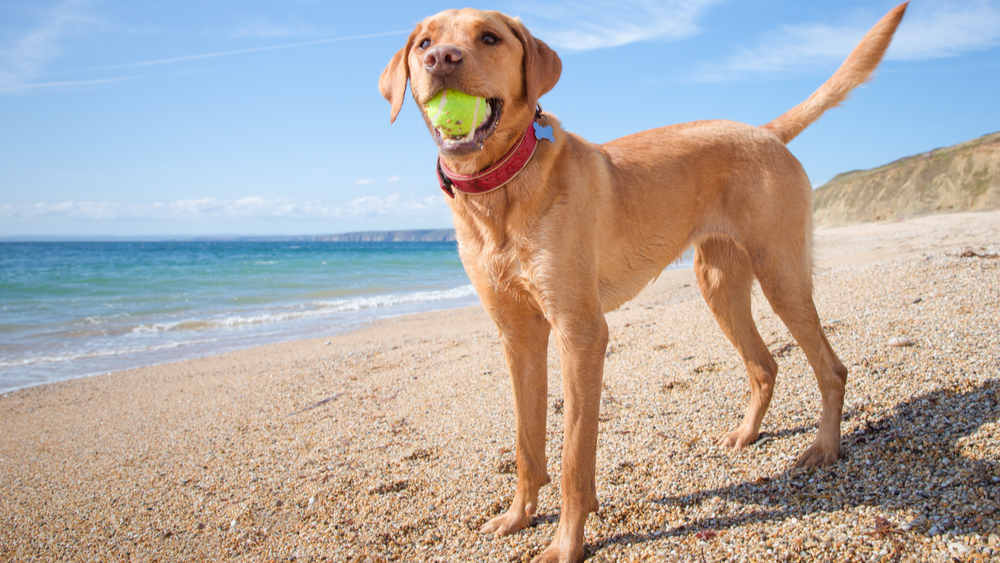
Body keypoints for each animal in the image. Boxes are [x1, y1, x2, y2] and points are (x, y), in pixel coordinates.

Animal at [380, 5, 908, 563]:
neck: (499, 190)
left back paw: (824, 448)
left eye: (488, 37)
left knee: (831, 368)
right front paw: (518, 516)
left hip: (781, 275)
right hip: (718, 284)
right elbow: (527, 446)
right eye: (424, 43)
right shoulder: (518, 337)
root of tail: (763, 131)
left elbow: (573, 459)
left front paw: (566, 543)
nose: (441, 59)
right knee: (764, 366)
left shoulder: (581, 333)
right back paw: (746, 434)